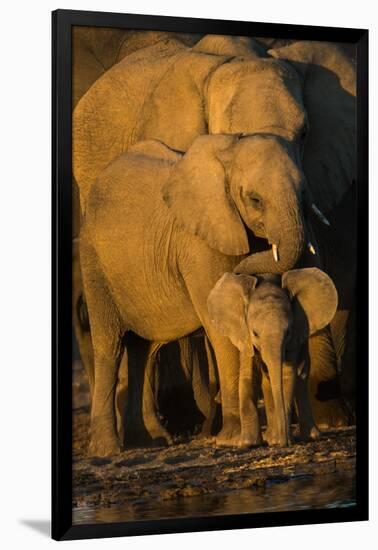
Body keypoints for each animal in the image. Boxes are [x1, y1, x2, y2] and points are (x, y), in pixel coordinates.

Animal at [208, 268, 338, 448]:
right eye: (255, 333)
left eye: (288, 332)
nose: (285, 442)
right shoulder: (244, 334)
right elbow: (249, 374)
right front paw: (248, 443)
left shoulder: (294, 335)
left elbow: (288, 373)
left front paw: (281, 440)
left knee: (301, 376)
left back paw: (309, 436)